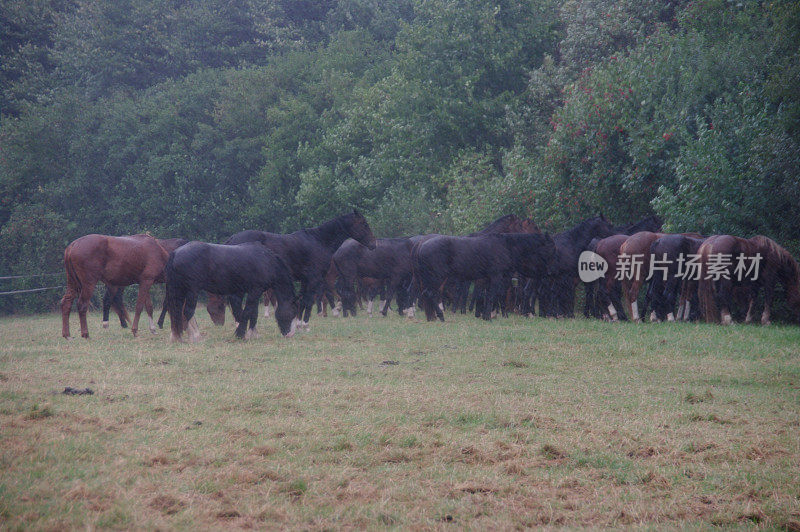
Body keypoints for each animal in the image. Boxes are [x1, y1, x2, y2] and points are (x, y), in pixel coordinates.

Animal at [166, 241, 300, 340]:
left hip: (179, 290)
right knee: (187, 312)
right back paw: (194, 337)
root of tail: (176, 252)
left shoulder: (245, 292)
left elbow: (251, 313)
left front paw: (252, 334)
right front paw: (241, 334)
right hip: (191, 291)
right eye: (293, 311)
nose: (290, 334)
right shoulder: (255, 291)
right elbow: (247, 312)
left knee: (176, 312)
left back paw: (177, 337)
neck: (266, 262)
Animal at [217, 212, 376, 328]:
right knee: (236, 300)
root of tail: (232, 239)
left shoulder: (306, 279)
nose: (373, 244)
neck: (319, 241)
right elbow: (308, 300)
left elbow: (302, 300)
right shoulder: (313, 278)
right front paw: (304, 324)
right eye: (364, 224)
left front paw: (298, 322)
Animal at [412, 233, 556, 320]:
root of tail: (422, 245)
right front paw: (488, 316)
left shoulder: (493, 278)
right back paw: (441, 316)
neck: (505, 246)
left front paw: (492, 315)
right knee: (431, 294)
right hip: (437, 277)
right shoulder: (496, 276)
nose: (549, 272)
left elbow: (493, 295)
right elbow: (492, 295)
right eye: (549, 249)